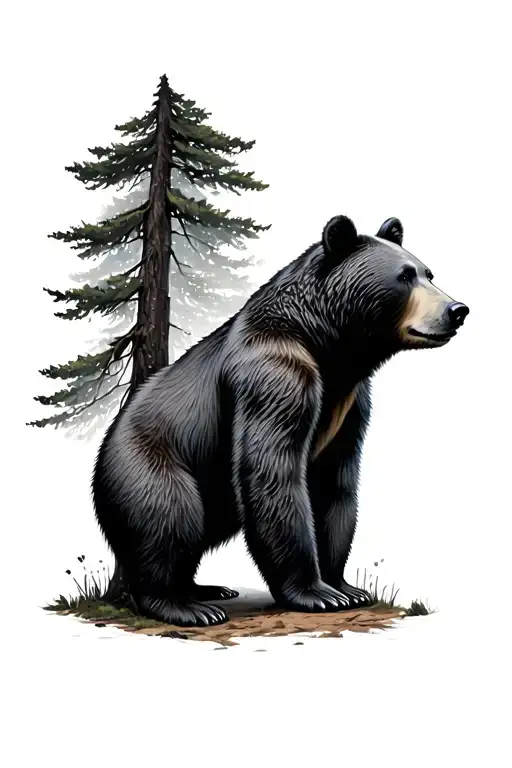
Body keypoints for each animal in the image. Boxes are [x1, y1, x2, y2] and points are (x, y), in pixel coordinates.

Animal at [92, 215, 469, 627]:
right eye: (404, 277)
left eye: (428, 272)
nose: (457, 310)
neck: (329, 348)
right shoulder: (274, 377)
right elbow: (273, 472)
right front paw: (316, 593)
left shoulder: (350, 403)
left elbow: (335, 483)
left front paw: (345, 586)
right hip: (148, 464)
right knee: (169, 519)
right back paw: (185, 605)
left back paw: (206, 589)